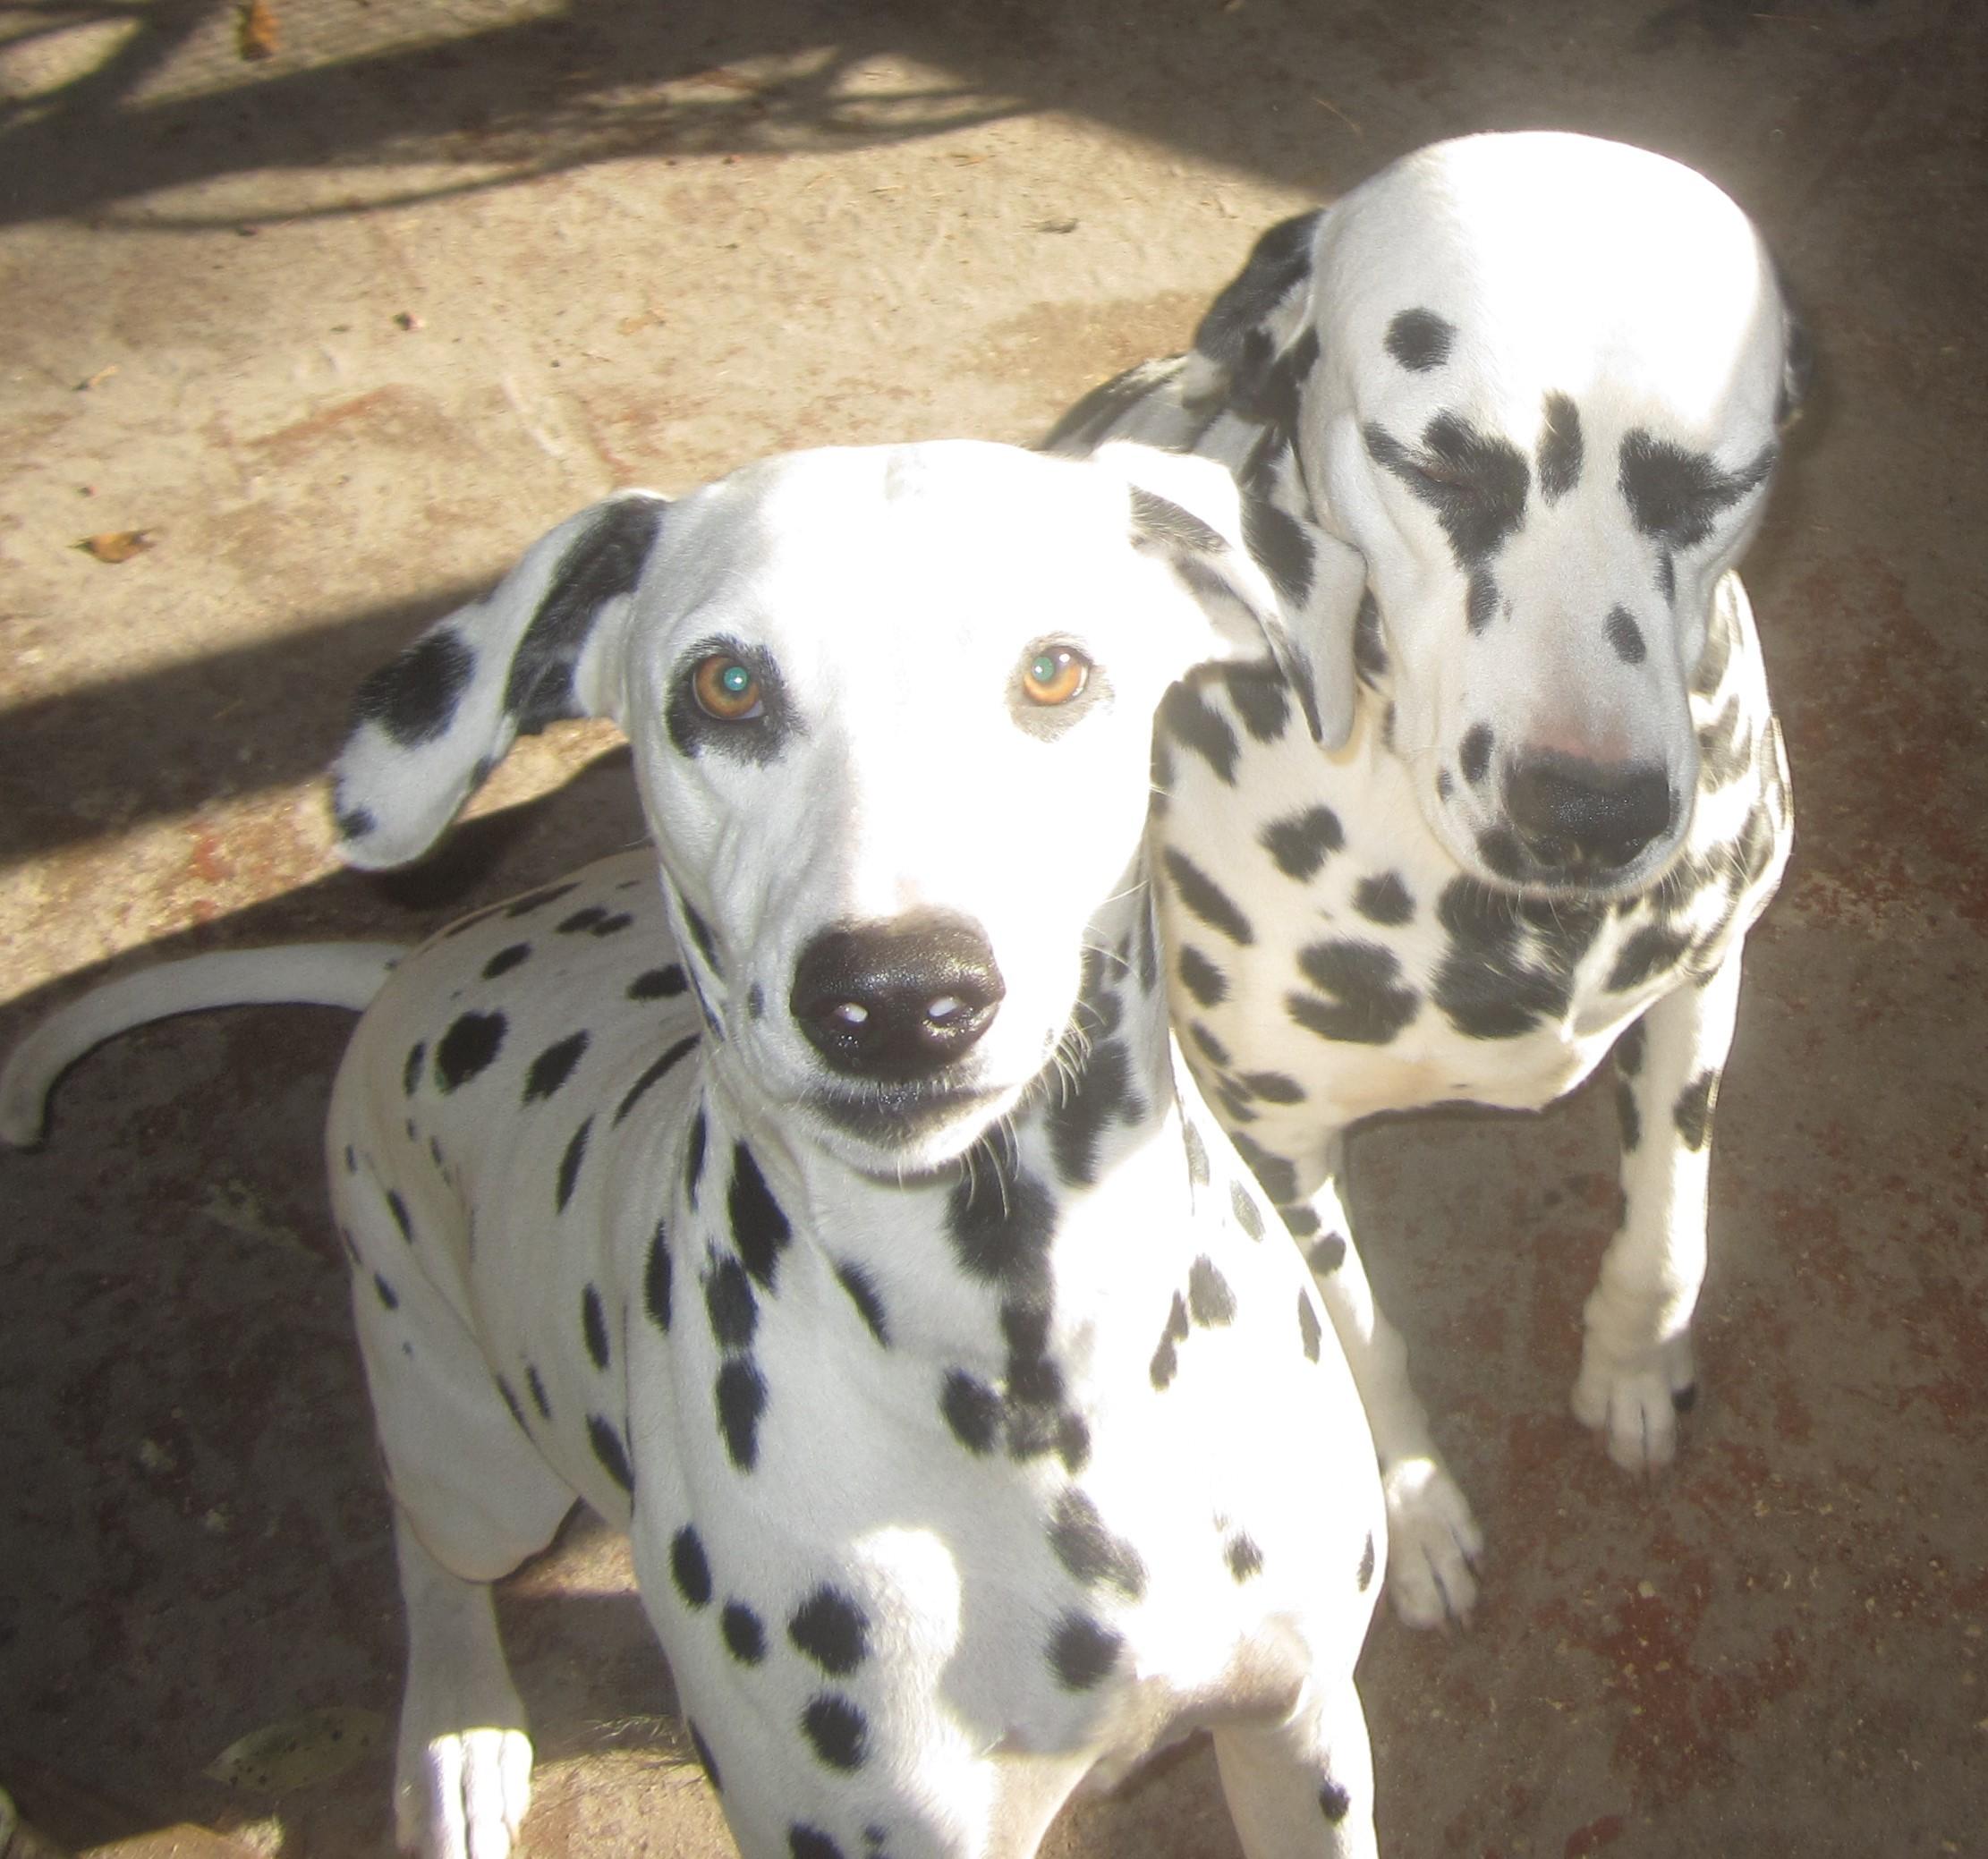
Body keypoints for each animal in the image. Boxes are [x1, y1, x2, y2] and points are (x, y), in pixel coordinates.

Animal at [4, 441, 1387, 1859]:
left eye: (1054, 669)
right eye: (725, 685)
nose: (898, 996)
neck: (1031, 1369)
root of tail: (404, 964)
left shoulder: (1301, 1730)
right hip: (468, 1446)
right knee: (423, 1537)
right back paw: (453, 1723)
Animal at [1046, 131, 1805, 1626]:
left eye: (1717, 484)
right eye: (1434, 468)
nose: (1588, 809)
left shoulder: (1703, 985)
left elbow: (1666, 1230)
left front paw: (1632, 1365)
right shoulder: (1272, 1140)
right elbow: (1355, 1339)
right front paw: (1409, 1505)